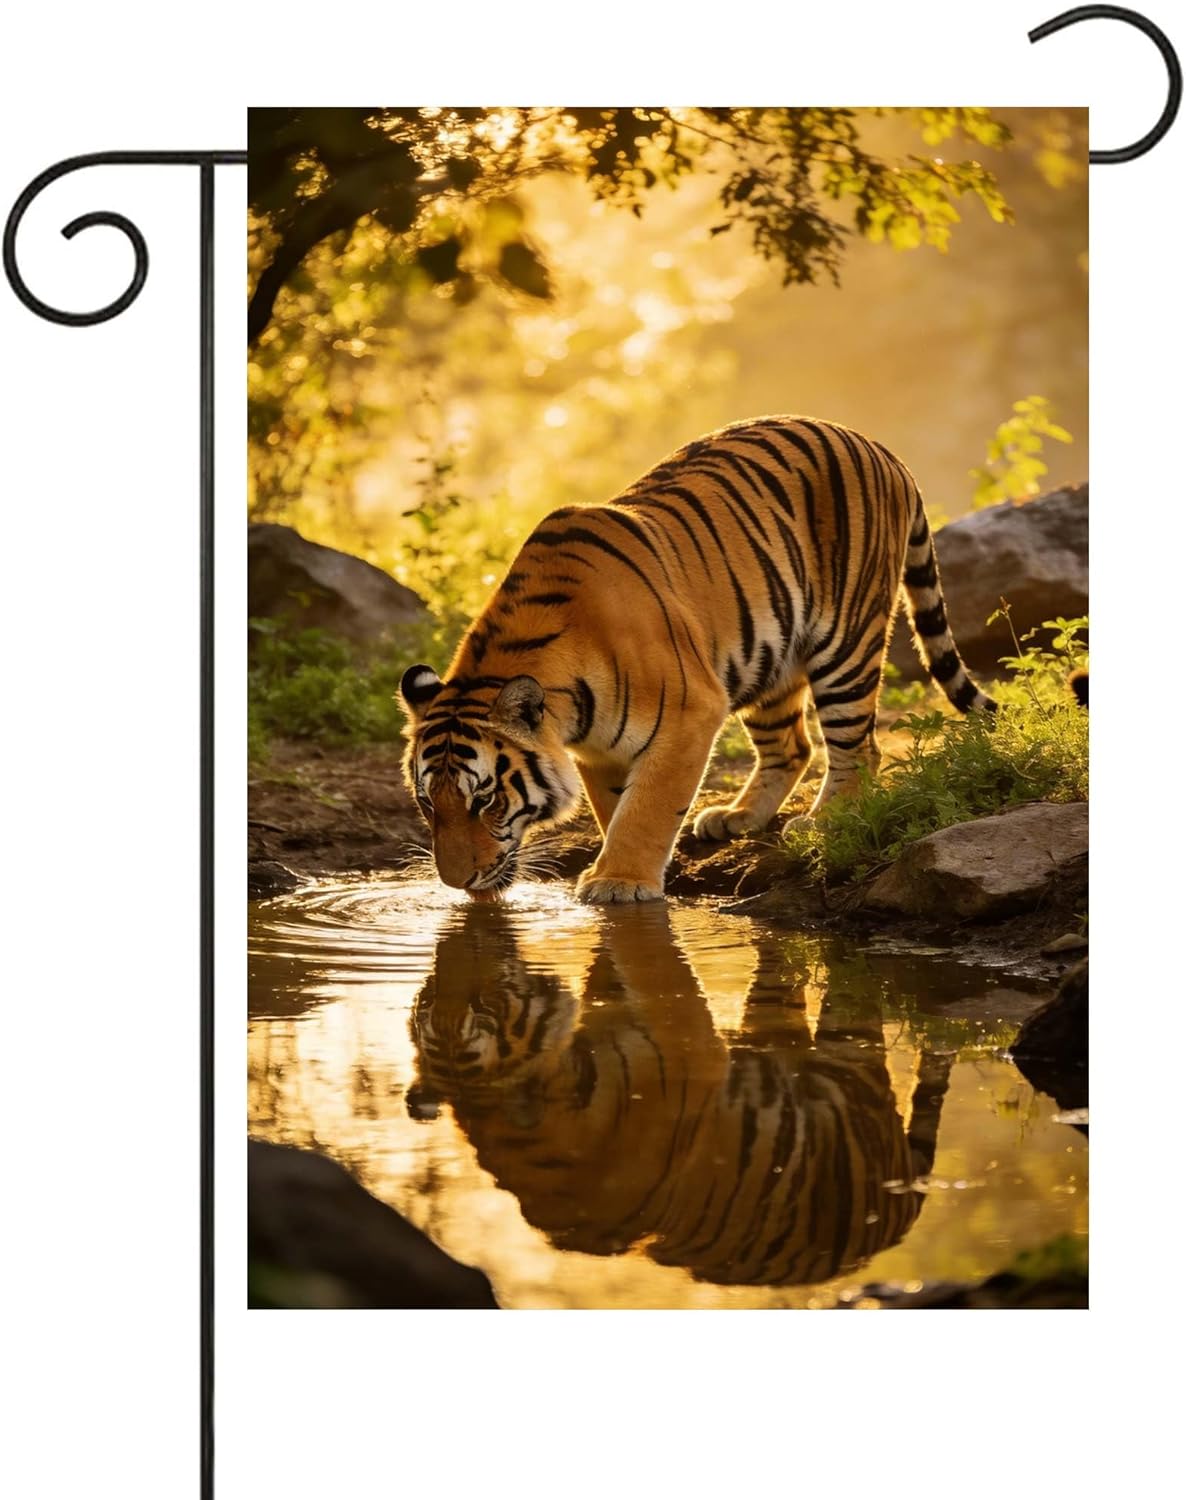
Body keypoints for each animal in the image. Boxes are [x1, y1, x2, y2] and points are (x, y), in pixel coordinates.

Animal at [400, 415, 995, 903]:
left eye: (485, 801)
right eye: (428, 804)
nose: (457, 882)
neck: (569, 710)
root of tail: (881, 448)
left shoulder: (690, 714)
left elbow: (646, 807)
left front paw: (619, 882)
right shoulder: (599, 749)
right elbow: (614, 807)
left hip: (846, 643)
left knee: (859, 748)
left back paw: (824, 822)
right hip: (770, 658)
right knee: (792, 745)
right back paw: (737, 817)